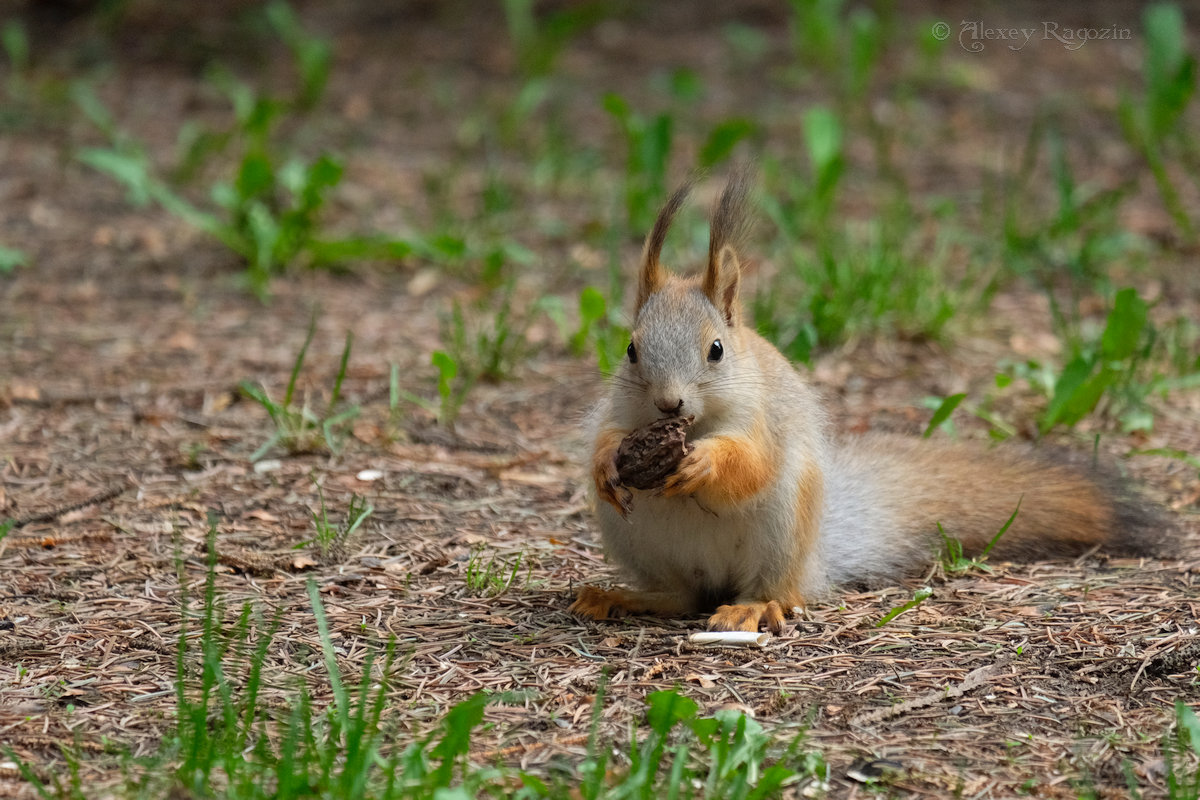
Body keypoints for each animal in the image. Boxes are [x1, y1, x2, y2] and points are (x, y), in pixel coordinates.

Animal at [566, 172, 1166, 633]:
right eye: (630, 350)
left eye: (715, 350)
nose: (669, 405)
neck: (696, 424)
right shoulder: (623, 411)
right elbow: (606, 437)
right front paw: (606, 464)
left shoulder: (762, 419)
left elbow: (753, 464)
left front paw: (705, 464)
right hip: (634, 539)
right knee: (680, 596)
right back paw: (620, 596)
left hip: (783, 531)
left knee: (775, 591)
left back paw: (752, 607)